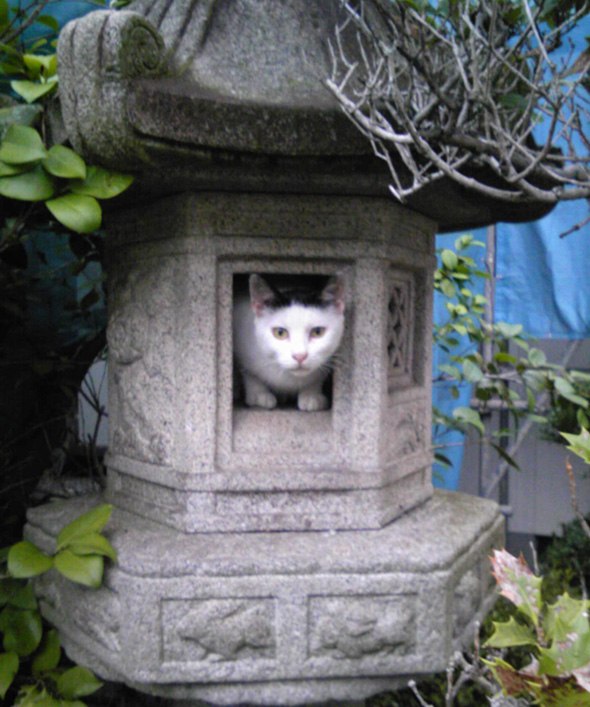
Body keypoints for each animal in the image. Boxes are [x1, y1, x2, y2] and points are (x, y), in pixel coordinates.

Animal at [232, 274, 344, 412]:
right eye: (280, 333)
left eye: (317, 332)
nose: (300, 356)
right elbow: (250, 374)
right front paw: (259, 395)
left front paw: (311, 395)